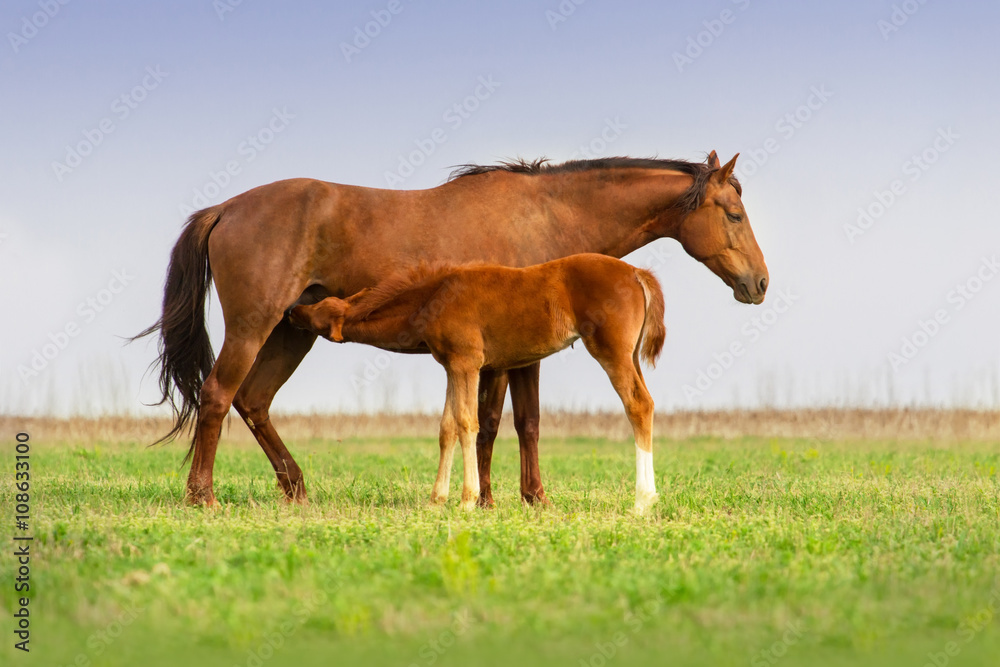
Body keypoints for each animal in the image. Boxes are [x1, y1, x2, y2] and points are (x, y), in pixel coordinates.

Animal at [288, 253, 664, 516]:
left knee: (638, 405)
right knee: (647, 402)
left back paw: (642, 501)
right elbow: (447, 428)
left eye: (320, 312)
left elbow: (468, 423)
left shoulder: (466, 363)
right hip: (630, 355)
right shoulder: (451, 367)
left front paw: (467, 500)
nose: (291, 310)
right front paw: (436, 500)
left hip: (611, 352)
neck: (435, 296)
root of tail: (637, 273)